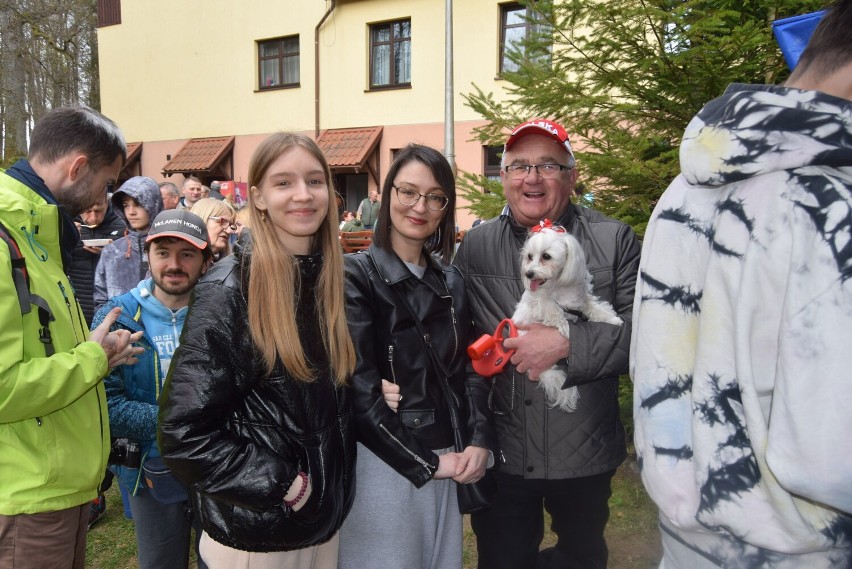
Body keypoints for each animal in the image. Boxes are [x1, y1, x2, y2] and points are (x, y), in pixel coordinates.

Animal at [510, 225, 624, 412]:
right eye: (529, 256)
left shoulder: (581, 300)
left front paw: (611, 319)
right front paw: (566, 328)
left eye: (546, 256)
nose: (528, 273)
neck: (558, 286)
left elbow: (595, 308)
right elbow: (554, 310)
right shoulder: (541, 302)